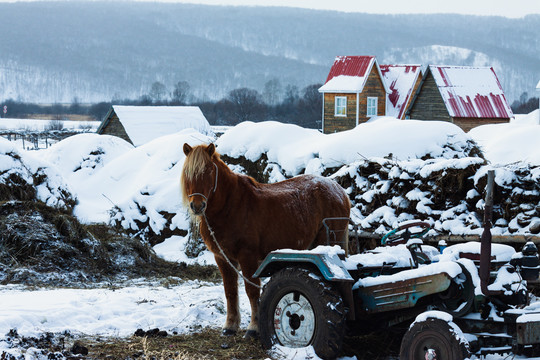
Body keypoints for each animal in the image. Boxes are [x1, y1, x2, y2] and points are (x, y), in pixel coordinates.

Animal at [181, 143, 350, 338]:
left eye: (208, 170)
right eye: (187, 172)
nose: (197, 206)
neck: (230, 206)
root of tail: (339, 190)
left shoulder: (247, 256)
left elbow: (252, 290)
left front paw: (253, 328)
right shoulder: (223, 258)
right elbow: (230, 291)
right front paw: (230, 326)